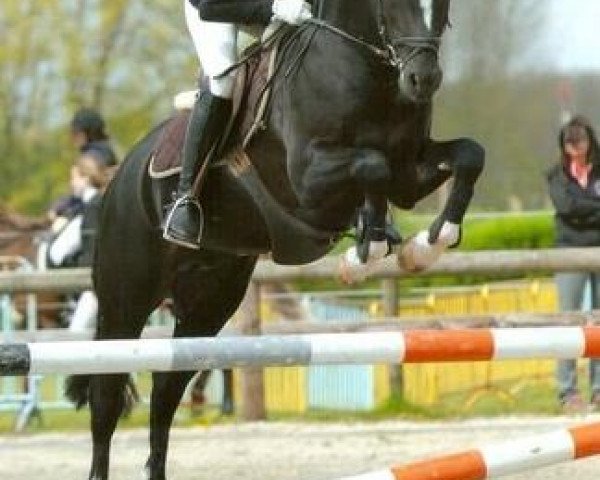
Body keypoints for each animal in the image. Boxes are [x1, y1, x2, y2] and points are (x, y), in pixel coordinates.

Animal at [68, 1, 486, 478]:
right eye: (391, 5)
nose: (423, 79)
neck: (367, 72)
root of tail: (117, 179)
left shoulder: (409, 175)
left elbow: (468, 155)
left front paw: (425, 245)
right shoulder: (309, 177)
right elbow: (372, 166)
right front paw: (368, 248)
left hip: (209, 302)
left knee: (166, 391)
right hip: (126, 299)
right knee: (106, 396)